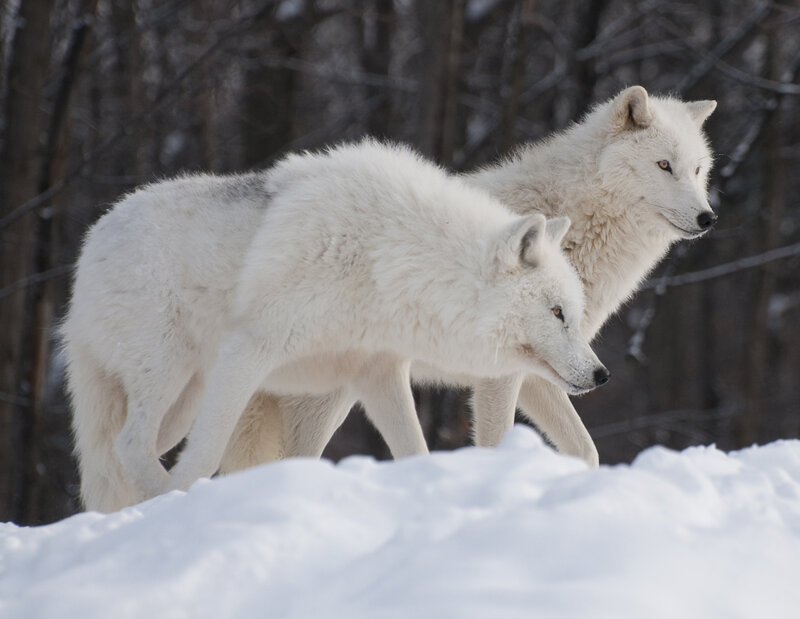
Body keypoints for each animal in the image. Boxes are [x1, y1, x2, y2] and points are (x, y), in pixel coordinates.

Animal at [62, 140, 608, 511]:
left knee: (122, 452)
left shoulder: (377, 374)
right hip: (169, 375)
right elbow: (206, 454)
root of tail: (92, 239)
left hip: (181, 400)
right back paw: (160, 500)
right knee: (130, 446)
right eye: (557, 313)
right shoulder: (249, 352)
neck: (386, 257)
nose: (602, 375)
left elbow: (414, 451)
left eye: (573, 312)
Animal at [221, 85, 717, 472]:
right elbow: (497, 442)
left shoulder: (545, 373)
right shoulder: (502, 376)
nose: (707, 217)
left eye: (697, 170)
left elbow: (587, 451)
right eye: (664, 165)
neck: (576, 221)